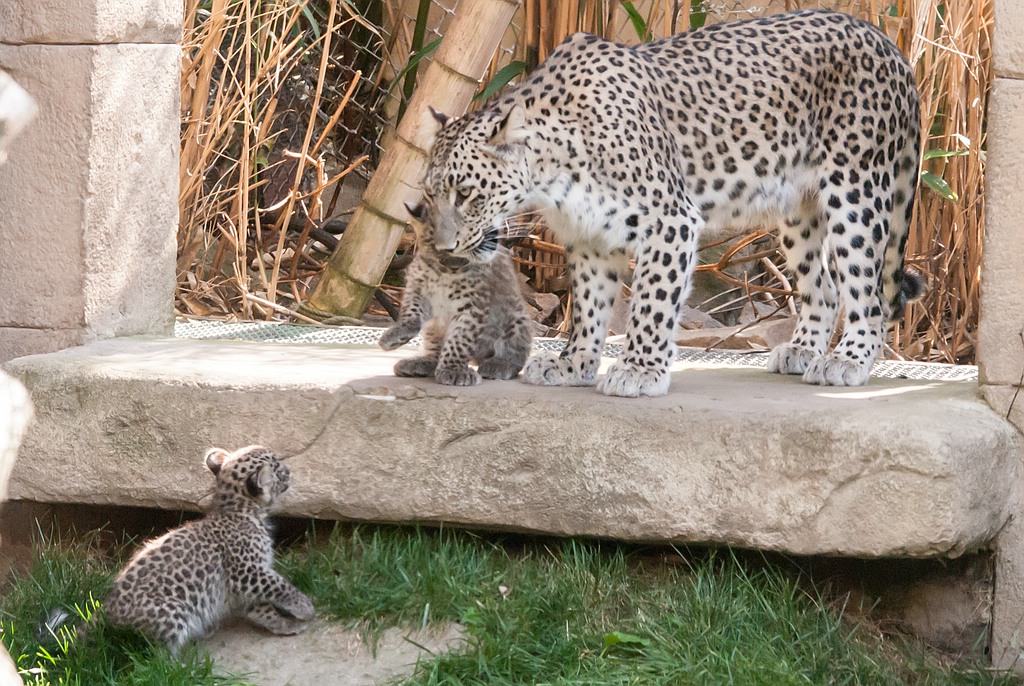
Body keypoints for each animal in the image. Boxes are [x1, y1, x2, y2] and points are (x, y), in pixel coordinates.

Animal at [99, 445, 314, 655]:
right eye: (278, 468)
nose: (289, 472)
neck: (238, 510)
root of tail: (106, 614)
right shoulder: (246, 572)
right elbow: (279, 585)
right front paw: (304, 606)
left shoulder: (242, 585)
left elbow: (261, 606)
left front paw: (285, 624)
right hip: (170, 611)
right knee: (153, 657)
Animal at [378, 201, 533, 386]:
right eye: (438, 251)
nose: (454, 266)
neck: (444, 277)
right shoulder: (417, 290)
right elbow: (412, 313)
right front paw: (397, 334)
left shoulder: (472, 305)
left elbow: (460, 339)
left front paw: (452, 370)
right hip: (434, 327)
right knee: (435, 350)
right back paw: (422, 363)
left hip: (517, 319)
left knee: (516, 352)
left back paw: (500, 364)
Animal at [416, 9, 923, 397]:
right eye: (429, 195)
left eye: (466, 193)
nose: (444, 248)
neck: (553, 172)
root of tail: (888, 43)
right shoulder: (589, 237)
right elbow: (588, 307)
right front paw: (573, 364)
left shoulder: (669, 219)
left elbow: (652, 300)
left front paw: (639, 370)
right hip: (799, 209)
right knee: (824, 287)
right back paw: (802, 351)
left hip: (855, 191)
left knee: (868, 294)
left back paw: (849, 361)